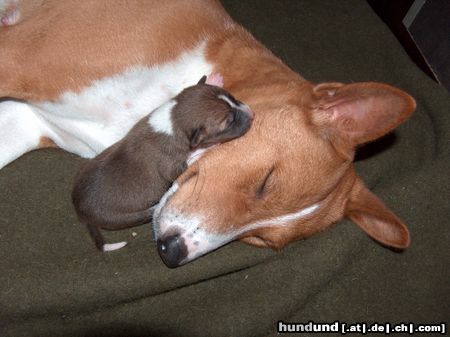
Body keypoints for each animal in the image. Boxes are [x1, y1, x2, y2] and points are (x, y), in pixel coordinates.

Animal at [73, 75, 253, 251]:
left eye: (232, 97)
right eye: (229, 121)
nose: (252, 113)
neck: (173, 120)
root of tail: (80, 213)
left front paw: (213, 79)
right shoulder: (172, 166)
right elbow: (186, 162)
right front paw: (207, 148)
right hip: (123, 217)